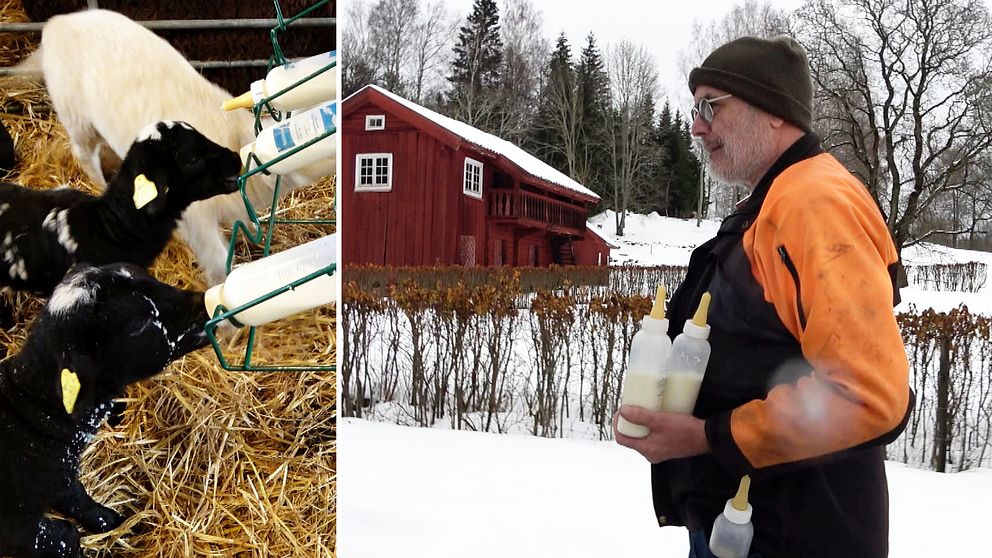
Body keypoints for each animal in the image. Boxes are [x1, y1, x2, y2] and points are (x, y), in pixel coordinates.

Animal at [0, 264, 214, 558]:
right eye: (139, 323)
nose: (202, 302)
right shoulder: (18, 525)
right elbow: (64, 535)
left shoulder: (60, 475)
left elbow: (75, 497)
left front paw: (107, 519)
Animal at [19, 9, 320, 284]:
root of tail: (57, 23)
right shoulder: (197, 220)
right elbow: (218, 263)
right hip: (75, 115)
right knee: (84, 154)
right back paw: (99, 183)